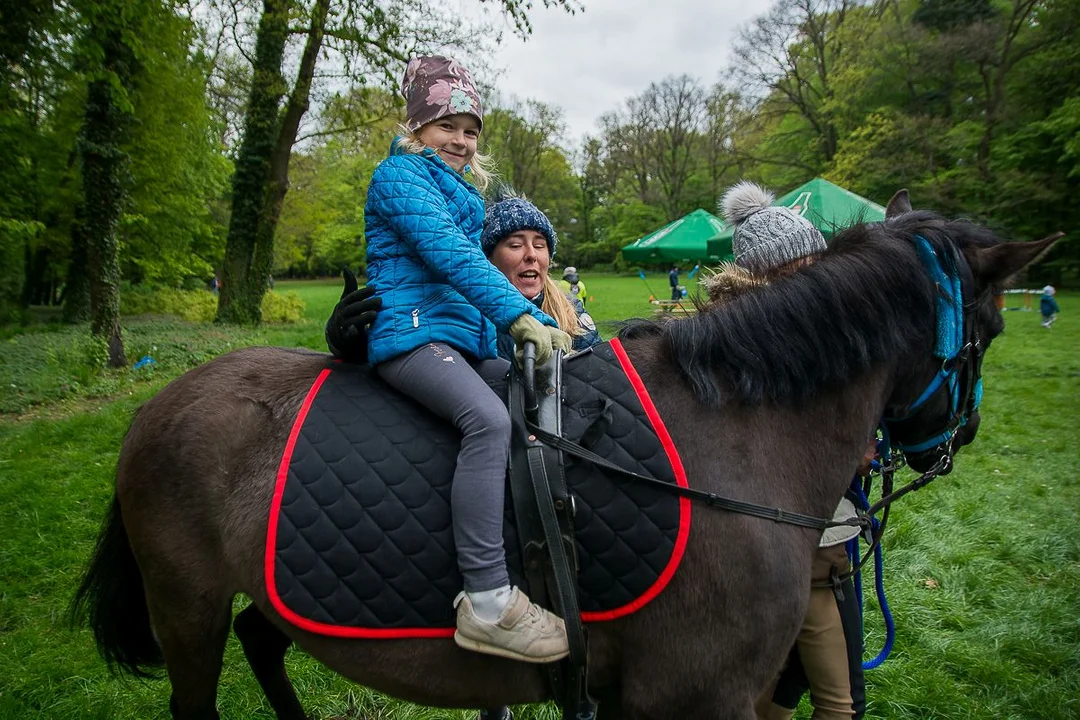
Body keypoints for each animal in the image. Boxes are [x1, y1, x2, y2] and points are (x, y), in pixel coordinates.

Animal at [67, 193, 1054, 720]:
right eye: (996, 328)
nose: (954, 441)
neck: (735, 441)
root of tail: (159, 405)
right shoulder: (693, 696)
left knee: (264, 642)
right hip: (184, 605)